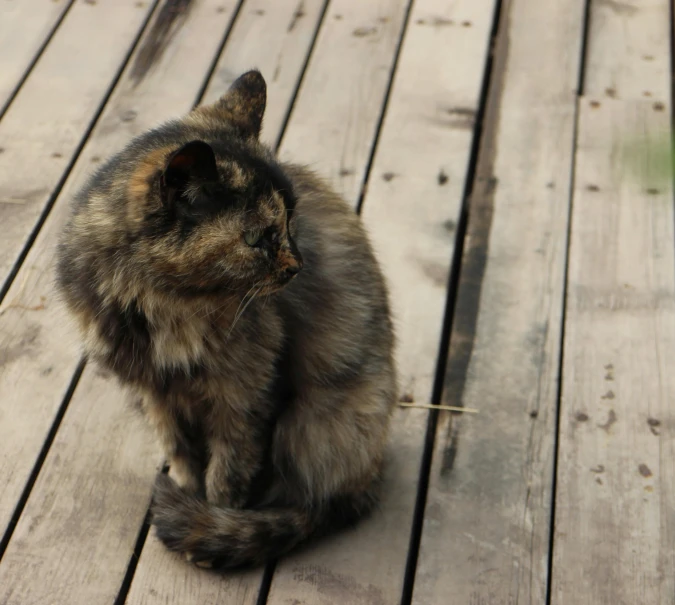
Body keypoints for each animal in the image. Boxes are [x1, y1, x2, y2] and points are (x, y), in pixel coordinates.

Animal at [58, 69, 398, 568]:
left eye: (292, 220)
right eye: (256, 239)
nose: (297, 266)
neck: (157, 307)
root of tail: (372, 476)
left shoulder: (245, 398)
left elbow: (229, 474)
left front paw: (210, 518)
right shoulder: (156, 394)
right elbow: (183, 456)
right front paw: (190, 495)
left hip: (315, 423)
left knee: (314, 502)